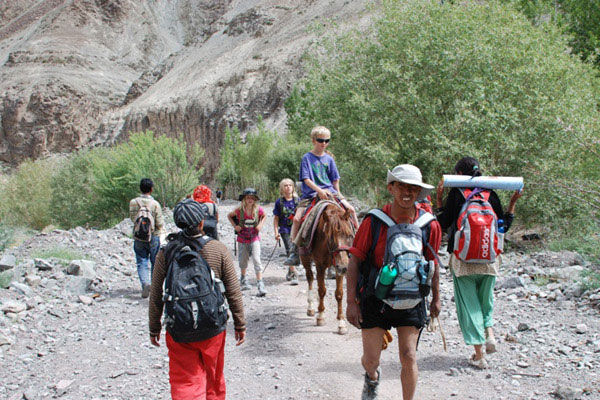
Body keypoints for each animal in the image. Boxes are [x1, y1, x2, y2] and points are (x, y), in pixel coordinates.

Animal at [300, 202, 356, 336]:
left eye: (349, 236)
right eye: (330, 238)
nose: (344, 267)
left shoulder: (338, 268)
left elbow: (339, 294)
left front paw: (341, 323)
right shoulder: (320, 266)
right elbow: (321, 290)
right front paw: (320, 316)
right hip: (305, 258)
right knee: (310, 278)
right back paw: (311, 307)